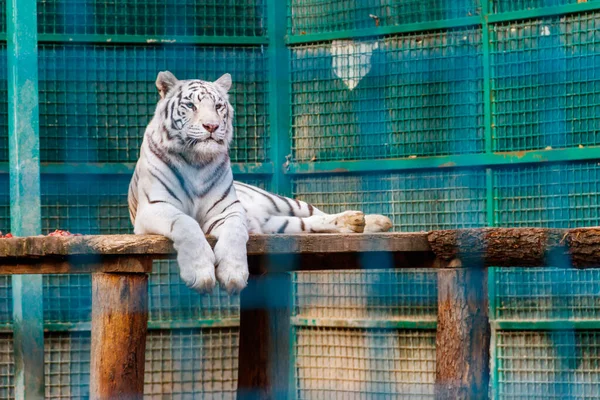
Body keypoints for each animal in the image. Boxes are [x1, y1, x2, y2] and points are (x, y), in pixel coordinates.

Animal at [129, 71, 394, 294]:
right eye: (190, 105)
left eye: (218, 106)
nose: (212, 126)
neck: (196, 160)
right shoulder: (154, 207)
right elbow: (186, 224)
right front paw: (200, 273)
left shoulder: (228, 210)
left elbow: (235, 233)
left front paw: (233, 274)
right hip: (280, 224)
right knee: (312, 223)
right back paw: (356, 223)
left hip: (285, 203)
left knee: (318, 213)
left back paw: (370, 221)